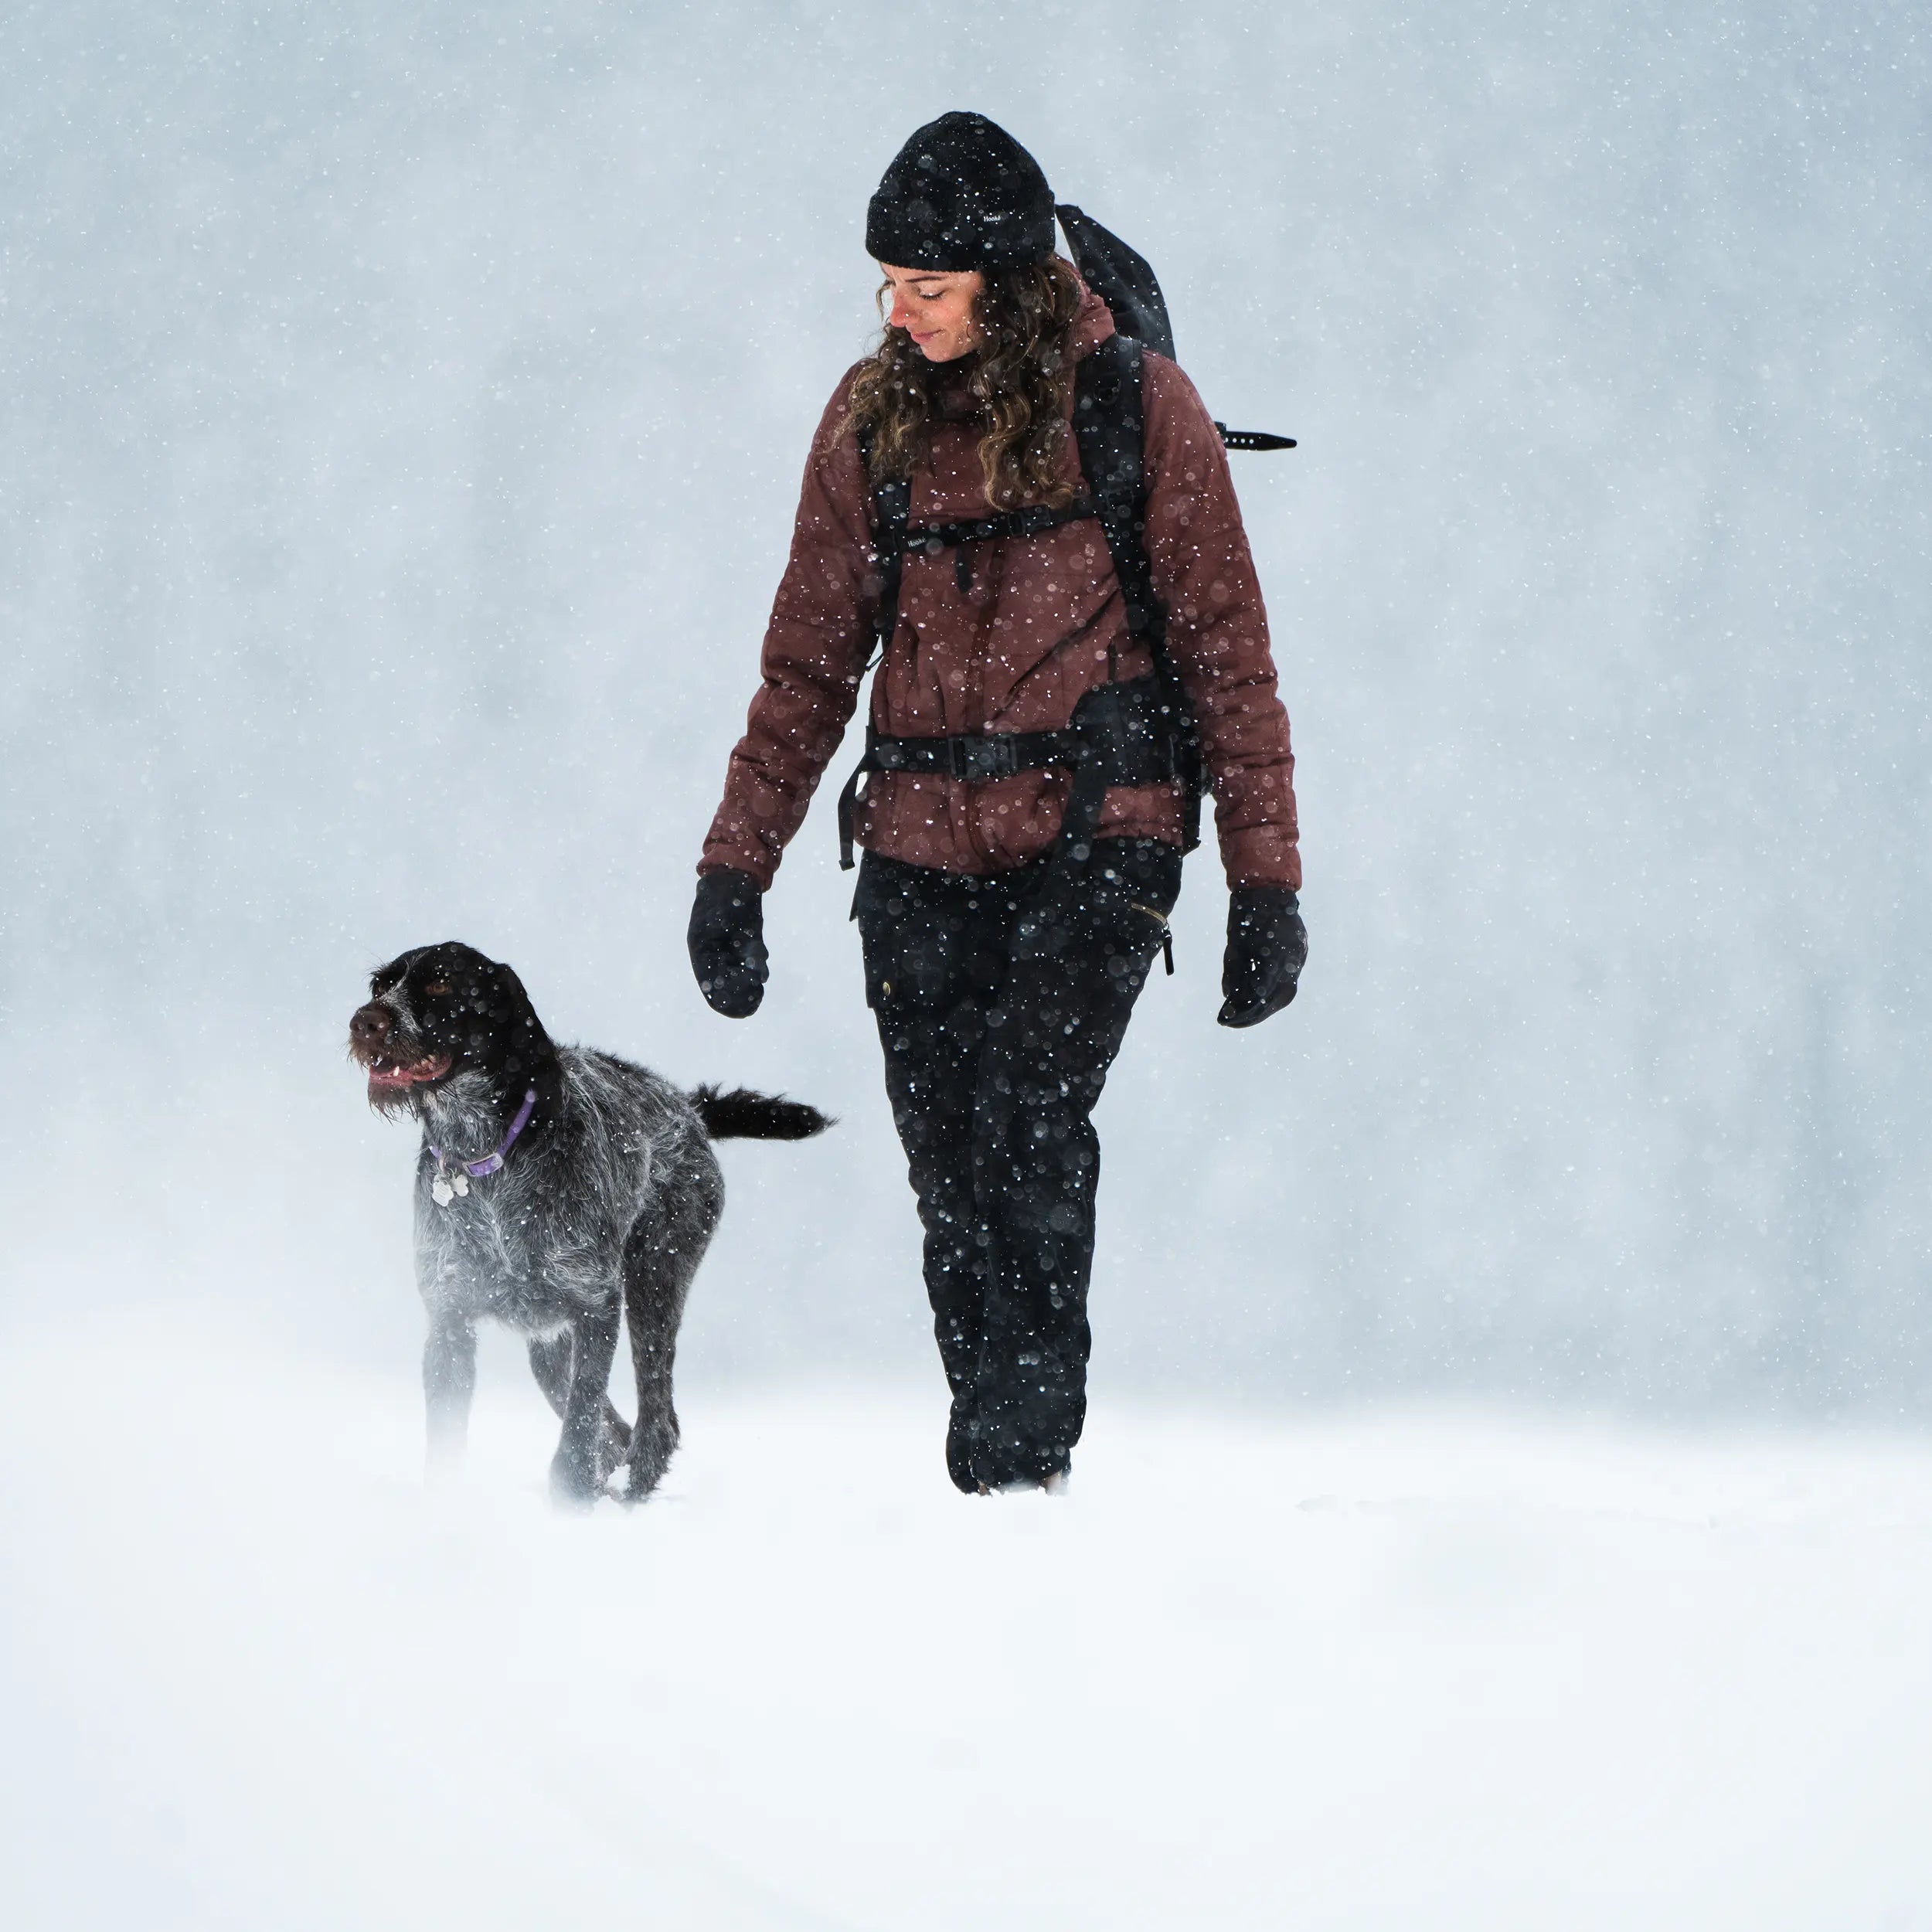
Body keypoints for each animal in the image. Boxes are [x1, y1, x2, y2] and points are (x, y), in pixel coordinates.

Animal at [349, 943, 831, 1499]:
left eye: (442, 983)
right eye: (381, 985)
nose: (365, 1022)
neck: (485, 1155)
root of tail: (688, 1110)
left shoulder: (594, 1305)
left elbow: (582, 1421)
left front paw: (572, 1495)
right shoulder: (450, 1321)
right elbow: (450, 1441)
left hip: (654, 1282)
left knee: (656, 1423)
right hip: (551, 1347)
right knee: (618, 1432)